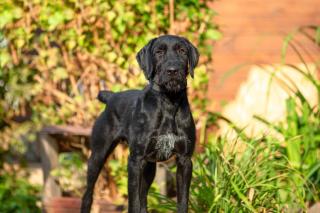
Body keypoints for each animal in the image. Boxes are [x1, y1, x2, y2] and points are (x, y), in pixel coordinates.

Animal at [81, 35, 199, 213]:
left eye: (182, 51)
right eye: (159, 52)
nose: (172, 70)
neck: (168, 103)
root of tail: (111, 97)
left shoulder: (184, 160)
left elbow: (182, 201)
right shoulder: (135, 161)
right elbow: (134, 201)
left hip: (150, 166)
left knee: (144, 196)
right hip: (97, 156)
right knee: (88, 194)